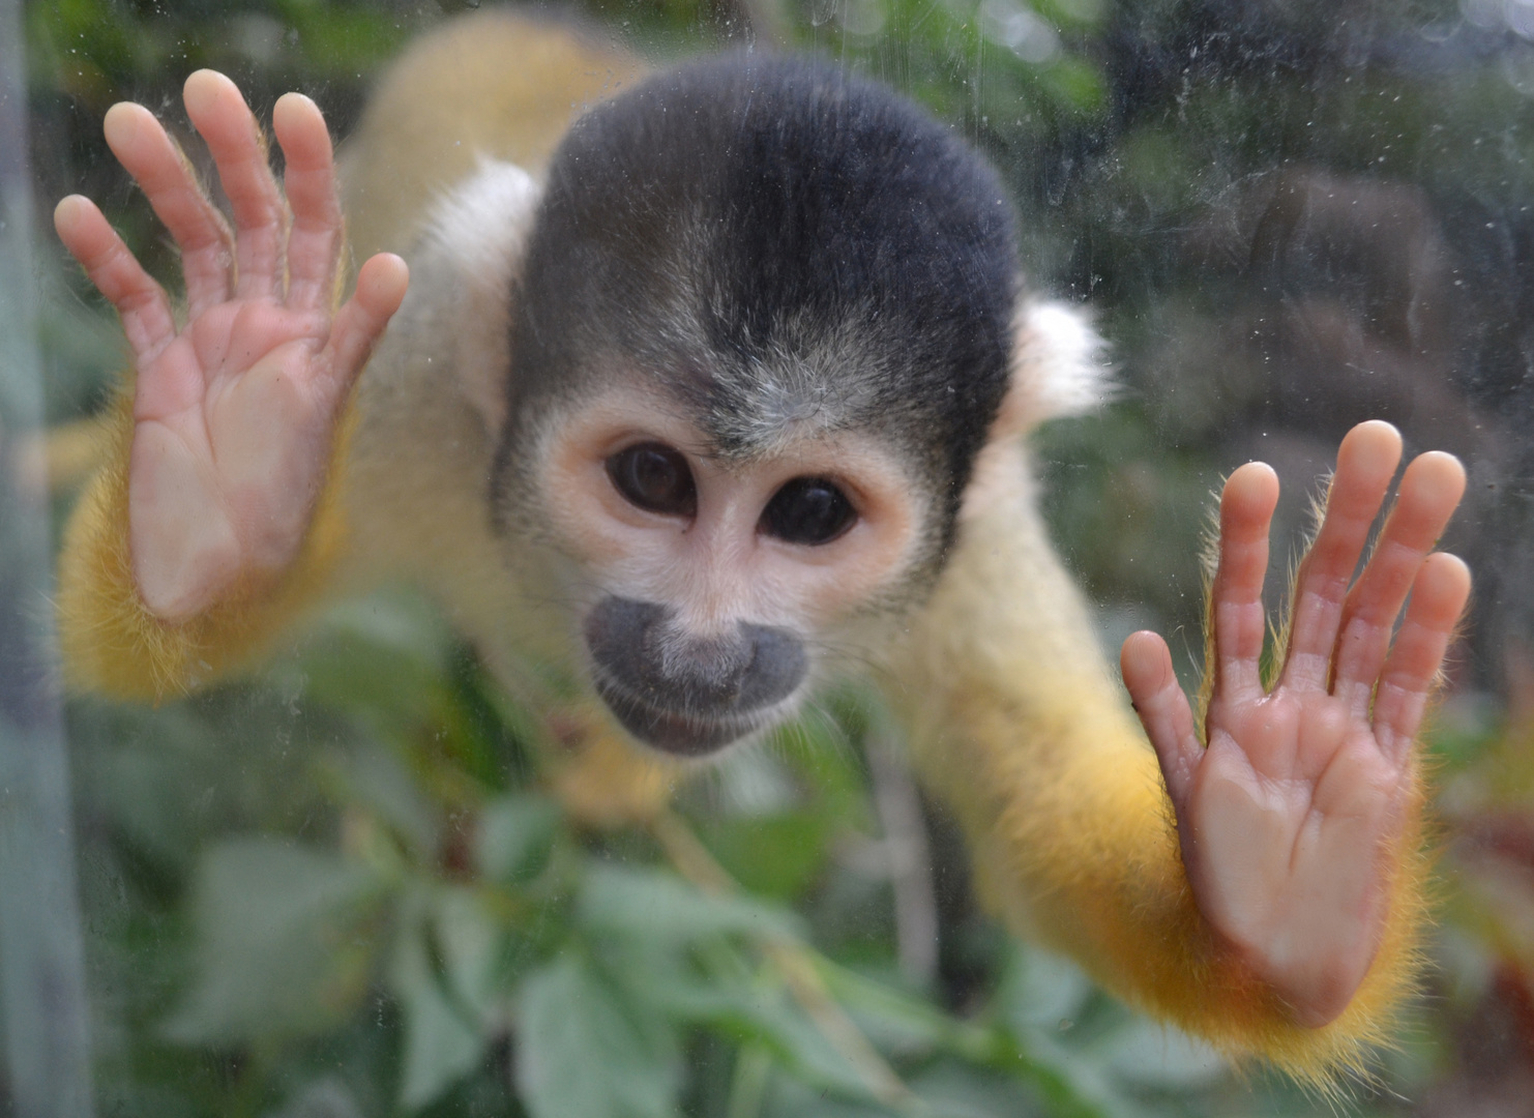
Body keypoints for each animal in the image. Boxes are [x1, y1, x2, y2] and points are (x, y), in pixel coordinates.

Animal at [50, 10, 1471, 1086]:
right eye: (650, 478)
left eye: (811, 513)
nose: (700, 646)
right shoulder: (416, 399)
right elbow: (147, 657)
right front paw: (221, 477)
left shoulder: (974, 538)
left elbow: (1046, 816)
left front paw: (1289, 853)